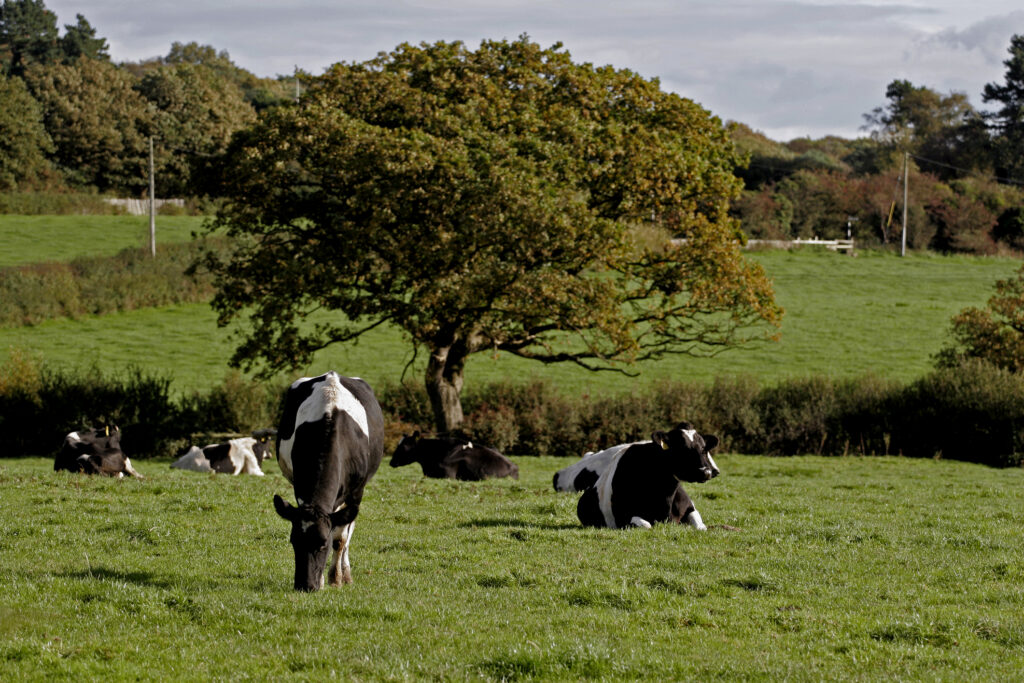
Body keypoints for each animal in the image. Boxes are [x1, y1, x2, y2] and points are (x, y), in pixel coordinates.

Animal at [272, 370, 385, 589]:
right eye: (293, 541)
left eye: (322, 543)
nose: (305, 586)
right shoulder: (300, 487)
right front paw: (323, 580)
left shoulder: (356, 492)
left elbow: (340, 539)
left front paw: (336, 578)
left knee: (348, 531)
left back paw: (346, 573)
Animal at [577, 423, 720, 532]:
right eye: (682, 449)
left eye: (704, 449)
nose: (706, 472)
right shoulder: (622, 518)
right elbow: (647, 525)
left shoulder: (689, 507)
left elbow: (701, 526)